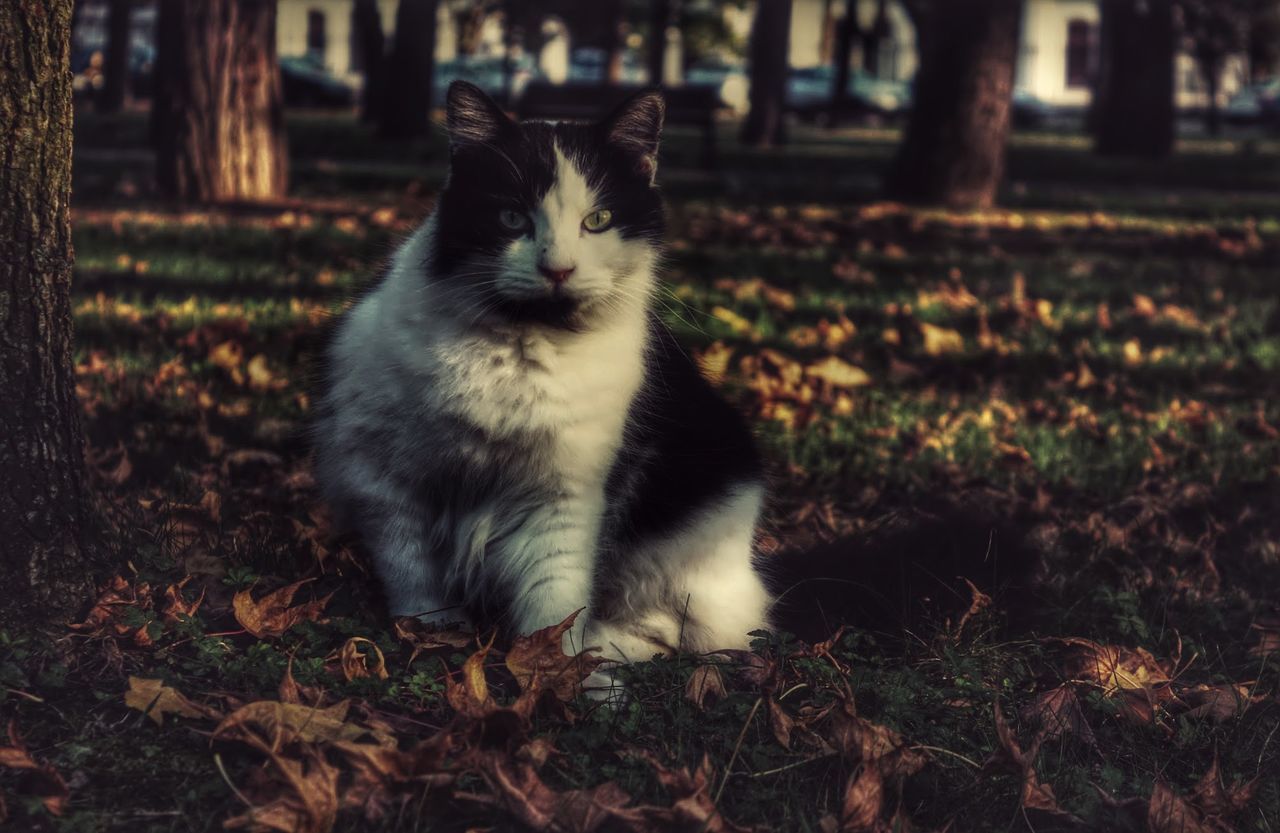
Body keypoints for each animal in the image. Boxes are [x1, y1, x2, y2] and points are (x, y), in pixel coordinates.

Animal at [312, 79, 768, 675]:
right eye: (512, 219)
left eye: (597, 220)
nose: (558, 269)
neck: (519, 347)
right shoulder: (385, 478)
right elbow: (415, 579)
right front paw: (433, 638)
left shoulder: (563, 499)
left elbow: (555, 604)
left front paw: (560, 677)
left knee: (680, 634)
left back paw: (608, 654)